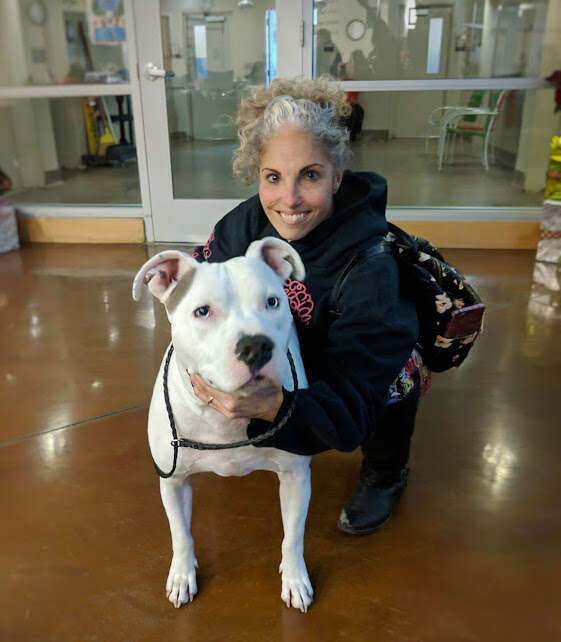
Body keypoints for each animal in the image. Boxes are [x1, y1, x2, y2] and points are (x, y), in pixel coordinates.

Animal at [133, 236, 312, 608]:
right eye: (203, 311)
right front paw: (182, 574)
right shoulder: (172, 482)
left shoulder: (296, 477)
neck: (224, 419)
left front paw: (294, 578)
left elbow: (293, 536)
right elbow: (181, 534)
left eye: (272, 302)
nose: (256, 345)